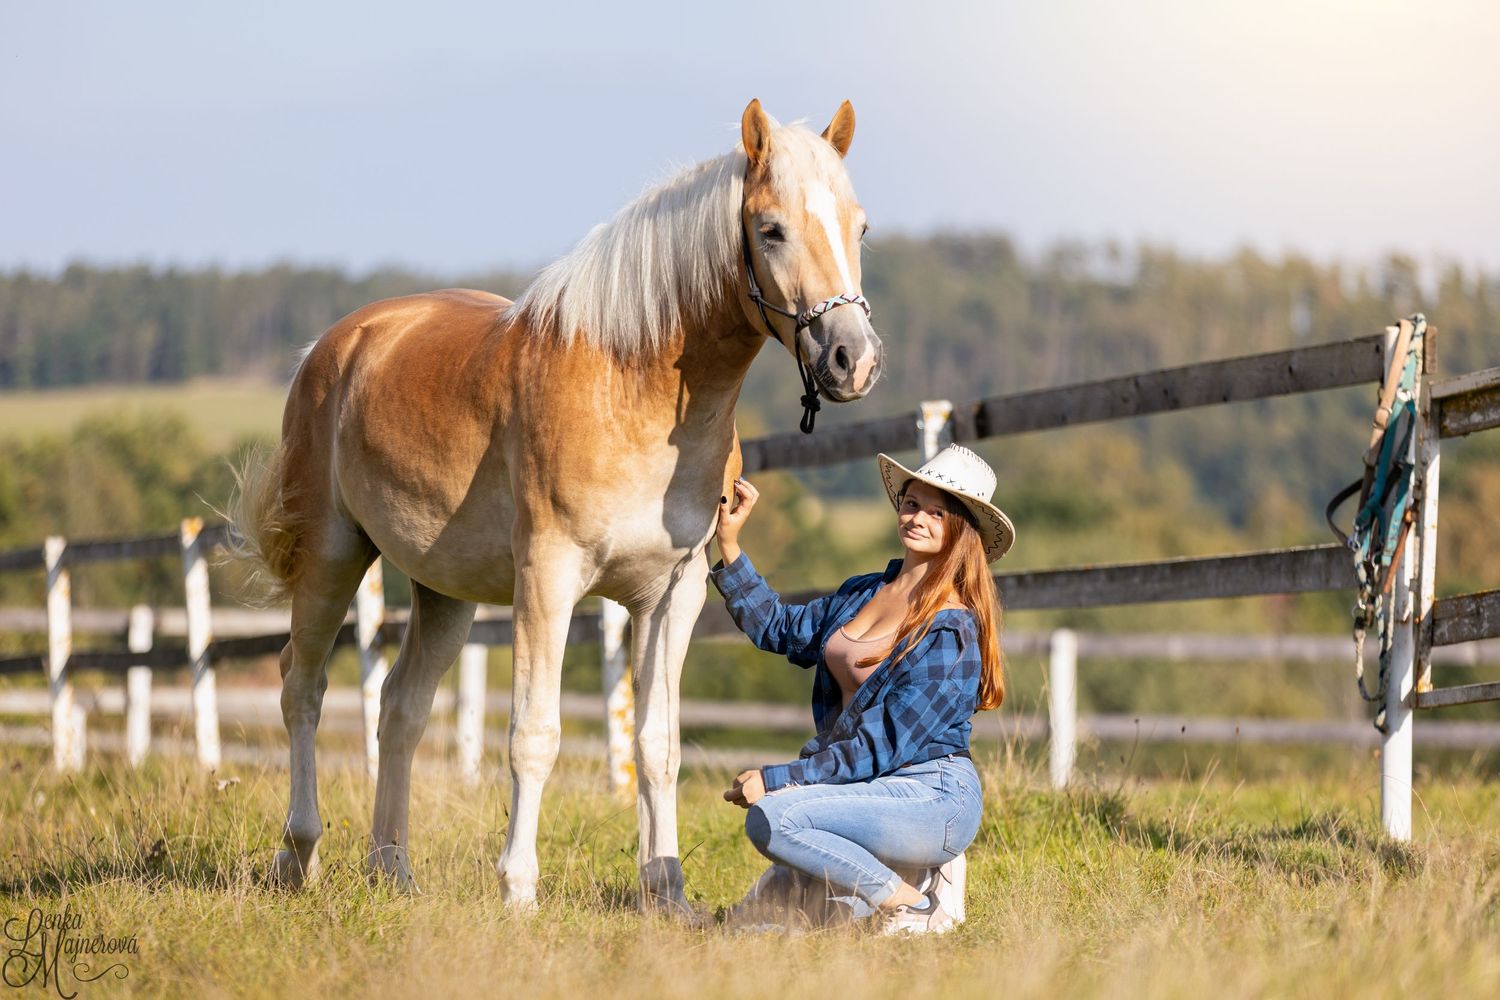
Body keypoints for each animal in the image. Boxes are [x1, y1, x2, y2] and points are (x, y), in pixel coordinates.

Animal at [230, 98, 884, 915]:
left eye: (860, 226)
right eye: (771, 229)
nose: (852, 359)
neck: (630, 386)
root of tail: (337, 343)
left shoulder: (672, 596)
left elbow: (658, 744)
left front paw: (666, 890)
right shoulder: (547, 581)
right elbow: (533, 735)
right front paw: (518, 888)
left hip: (443, 593)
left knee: (400, 707)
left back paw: (393, 869)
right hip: (333, 555)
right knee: (304, 688)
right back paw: (299, 853)